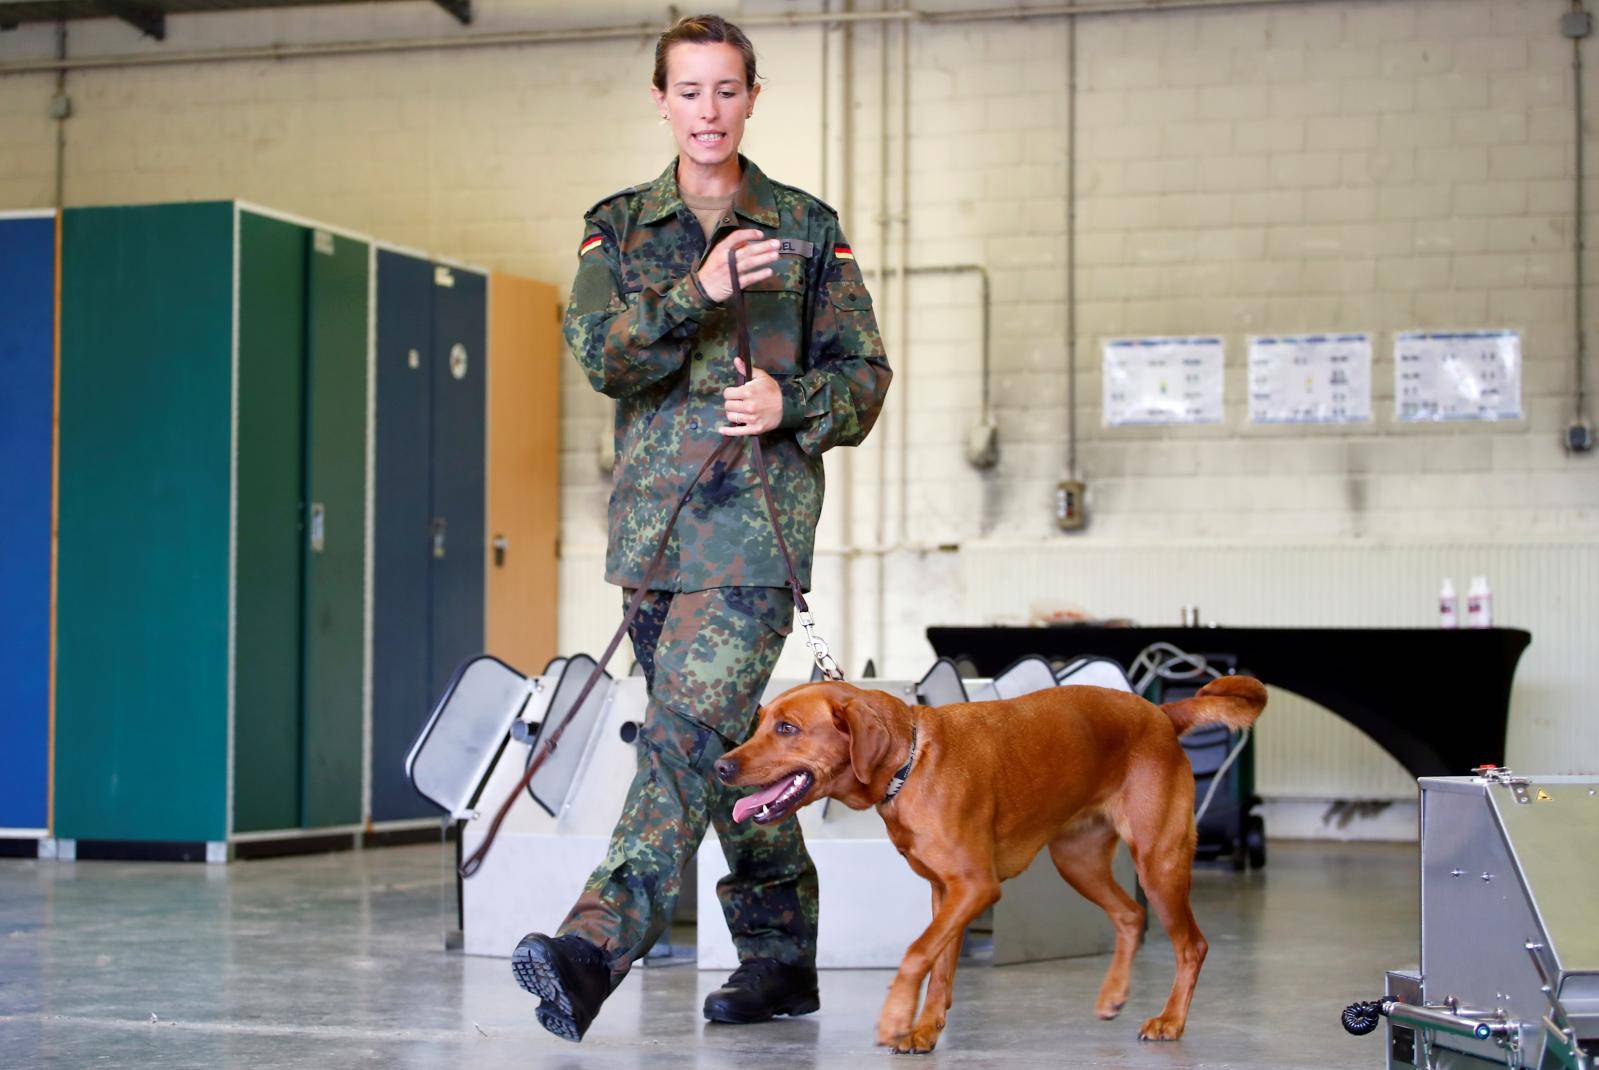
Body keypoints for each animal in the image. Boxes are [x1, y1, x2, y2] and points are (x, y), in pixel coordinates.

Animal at [719, 674, 1266, 1049]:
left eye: (787, 728)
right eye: (762, 721)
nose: (720, 765)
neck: (911, 762)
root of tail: (1161, 713)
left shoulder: (976, 887)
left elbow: (917, 953)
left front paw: (896, 1016)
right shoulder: (945, 891)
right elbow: (940, 965)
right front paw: (926, 1029)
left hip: (1158, 863)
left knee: (1191, 945)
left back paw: (1171, 1021)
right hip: (1078, 862)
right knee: (1131, 916)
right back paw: (1114, 994)